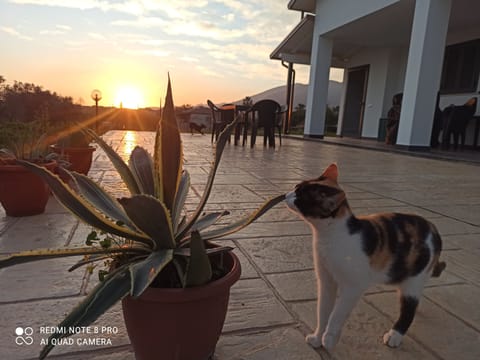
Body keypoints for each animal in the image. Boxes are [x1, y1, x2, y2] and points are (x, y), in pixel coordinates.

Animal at [284, 163, 446, 352]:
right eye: (296, 187)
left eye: (300, 196)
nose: (286, 195)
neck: (331, 235)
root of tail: (434, 230)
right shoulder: (326, 281)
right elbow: (323, 311)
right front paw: (318, 337)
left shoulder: (354, 286)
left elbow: (337, 314)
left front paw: (328, 338)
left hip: (414, 278)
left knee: (408, 309)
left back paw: (395, 335)